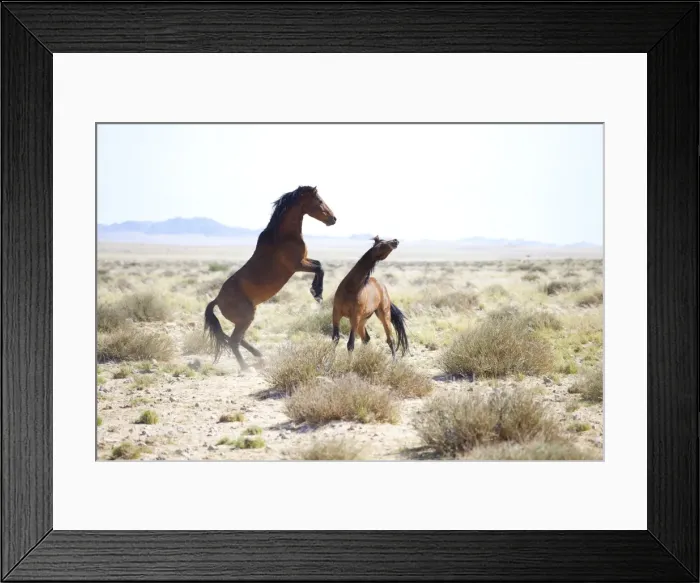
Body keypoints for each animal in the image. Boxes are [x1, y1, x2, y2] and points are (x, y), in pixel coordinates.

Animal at [204, 186, 336, 369]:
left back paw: (259, 355)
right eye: (319, 200)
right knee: (234, 341)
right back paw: (246, 367)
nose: (333, 219)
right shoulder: (297, 265)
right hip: (246, 318)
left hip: (243, 320)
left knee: (237, 339)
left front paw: (315, 292)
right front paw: (317, 293)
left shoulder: (305, 260)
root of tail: (217, 300)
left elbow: (319, 264)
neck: (283, 237)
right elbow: (320, 268)